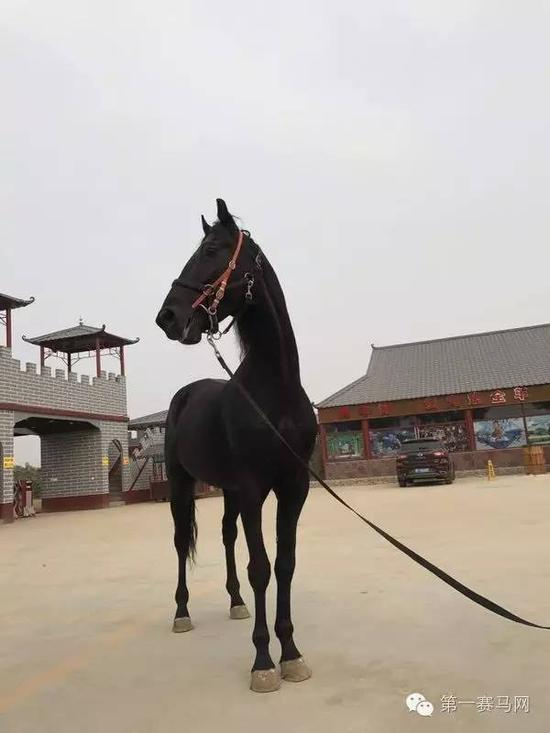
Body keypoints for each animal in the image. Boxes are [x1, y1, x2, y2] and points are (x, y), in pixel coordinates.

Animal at [155, 198, 318, 693]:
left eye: (210, 250)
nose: (167, 317)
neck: (275, 394)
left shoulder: (292, 487)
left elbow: (284, 564)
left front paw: (291, 653)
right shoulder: (252, 488)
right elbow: (260, 566)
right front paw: (263, 661)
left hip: (227, 491)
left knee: (227, 535)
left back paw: (235, 602)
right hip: (181, 484)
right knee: (179, 541)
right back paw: (182, 612)